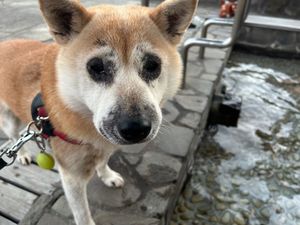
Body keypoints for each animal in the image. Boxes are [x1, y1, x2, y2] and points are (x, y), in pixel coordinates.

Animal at [0, 0, 197, 224]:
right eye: (96, 67)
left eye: (153, 65)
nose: (136, 129)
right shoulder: (72, 177)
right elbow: (82, 213)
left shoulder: (106, 145)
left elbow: (103, 162)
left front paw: (108, 176)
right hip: (9, 120)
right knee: (13, 136)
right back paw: (23, 154)